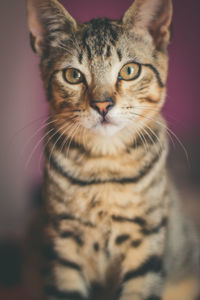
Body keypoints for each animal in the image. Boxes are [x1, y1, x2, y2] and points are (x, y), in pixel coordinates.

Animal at [25, 0, 199, 298]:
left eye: (129, 71)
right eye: (73, 75)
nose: (102, 104)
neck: (104, 163)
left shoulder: (146, 239)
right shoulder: (62, 242)